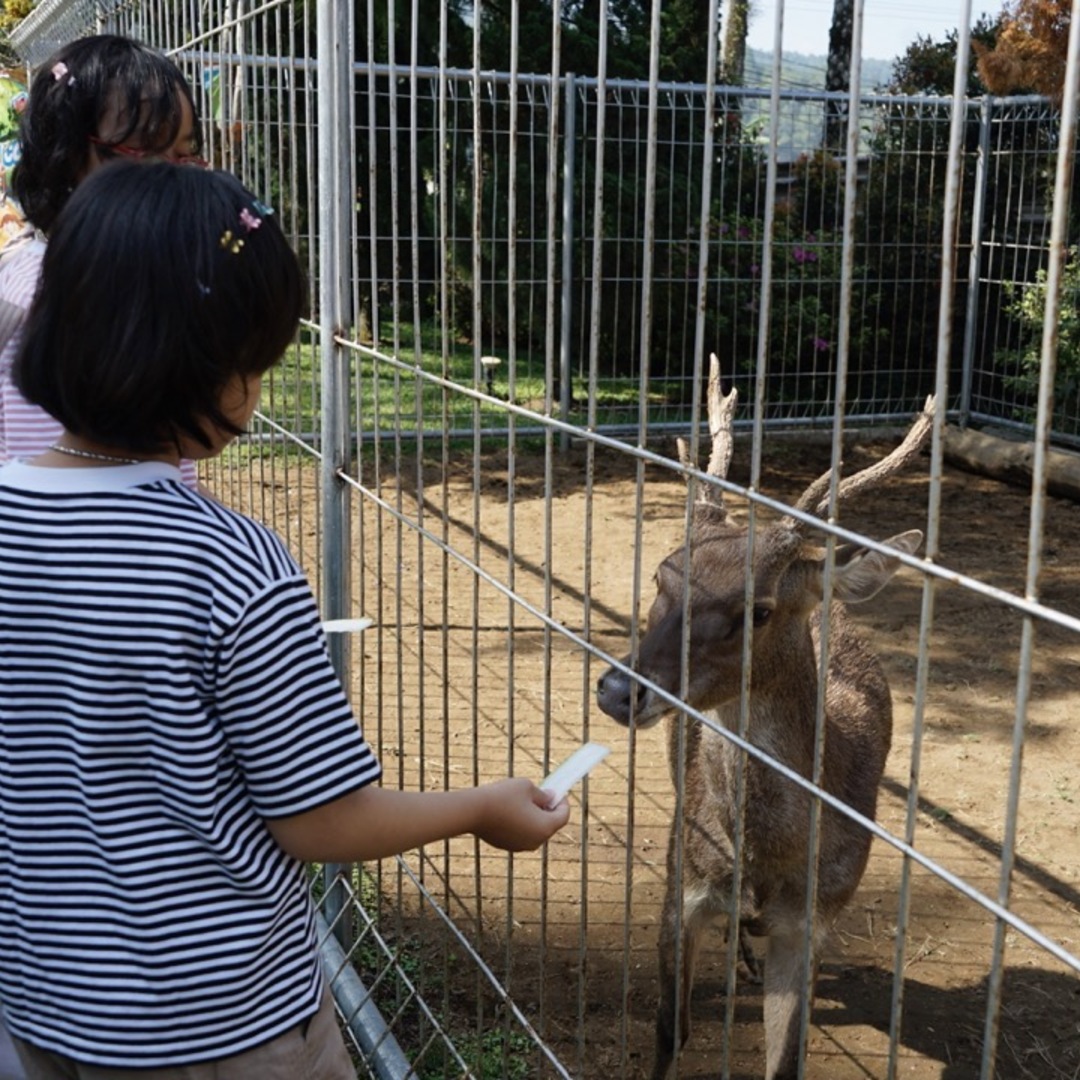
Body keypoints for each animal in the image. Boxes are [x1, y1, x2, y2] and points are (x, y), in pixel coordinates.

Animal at [596, 356, 933, 1080]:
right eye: (661, 577)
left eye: (757, 610)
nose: (617, 689)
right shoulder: (681, 883)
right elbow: (669, 1031)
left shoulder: (812, 923)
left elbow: (786, 1061)